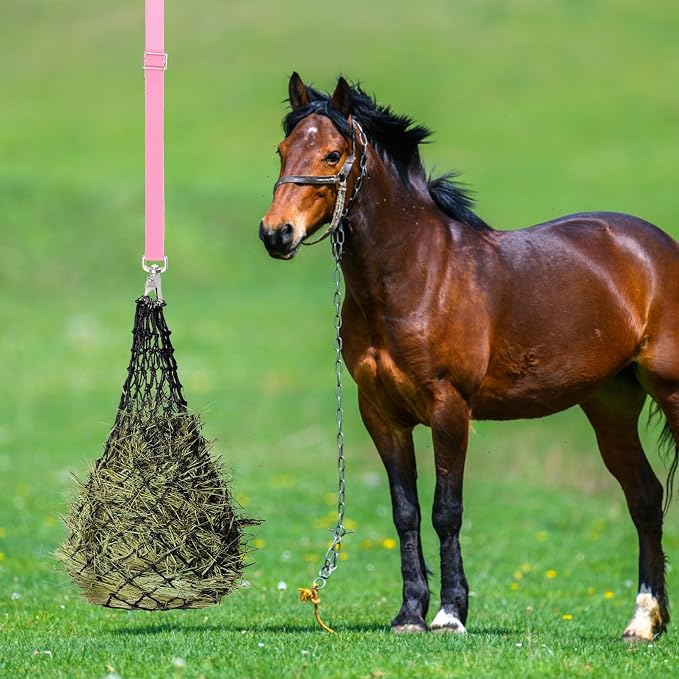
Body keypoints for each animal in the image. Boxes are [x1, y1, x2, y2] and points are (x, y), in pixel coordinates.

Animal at [259, 72, 678, 641]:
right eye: (282, 150)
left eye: (332, 154)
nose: (275, 233)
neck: (415, 274)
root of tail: (657, 248)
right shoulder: (381, 414)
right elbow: (406, 511)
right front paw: (410, 614)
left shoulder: (449, 408)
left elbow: (446, 511)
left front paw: (449, 614)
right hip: (610, 405)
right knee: (645, 497)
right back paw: (643, 621)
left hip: (670, 391)